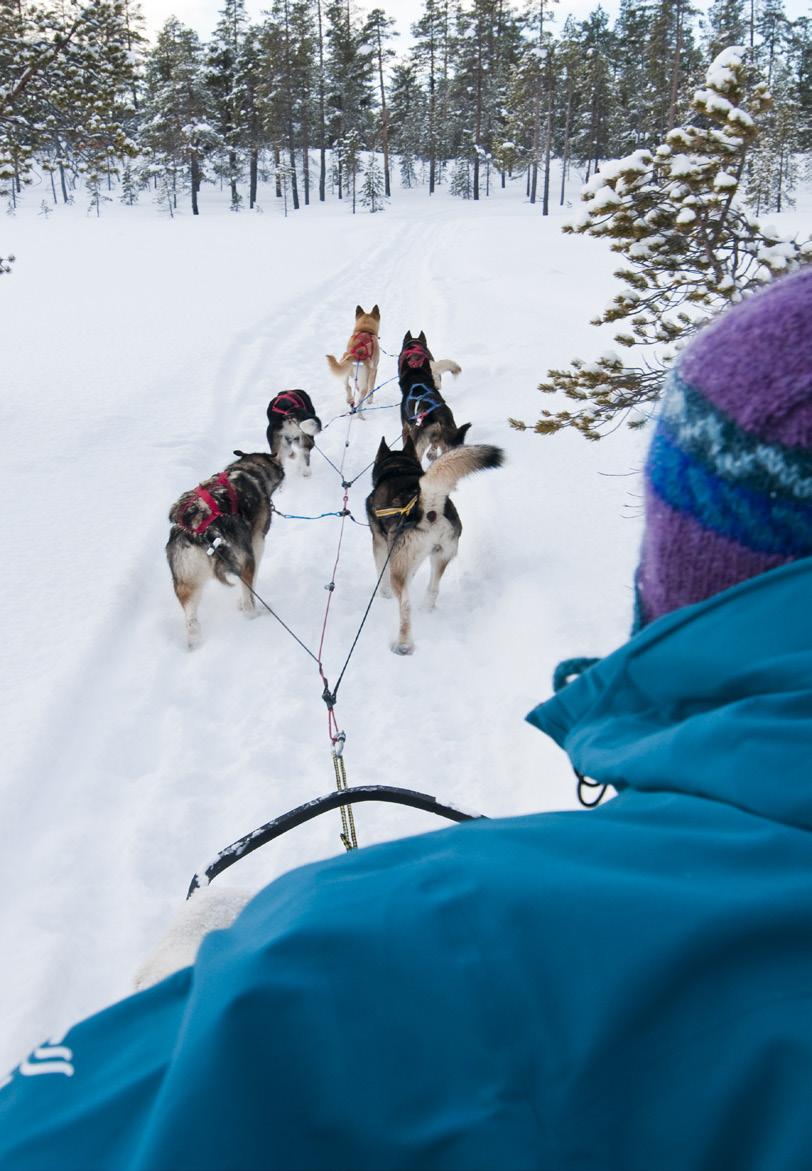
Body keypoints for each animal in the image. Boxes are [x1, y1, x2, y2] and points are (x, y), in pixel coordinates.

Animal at [165, 447, 284, 651]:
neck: (248, 469)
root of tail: (200, 530)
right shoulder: (257, 543)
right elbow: (251, 584)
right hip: (245, 560)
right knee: (248, 599)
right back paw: (254, 614)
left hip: (185, 582)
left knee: (191, 622)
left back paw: (195, 643)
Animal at [365, 435, 503, 655]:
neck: (398, 468)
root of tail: (427, 508)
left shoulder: (379, 543)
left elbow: (381, 576)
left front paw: (383, 595)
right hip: (440, 556)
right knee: (432, 590)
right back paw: (426, 609)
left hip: (400, 568)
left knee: (405, 606)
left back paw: (403, 645)